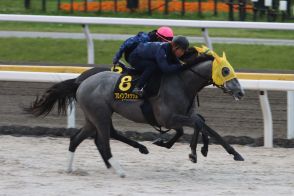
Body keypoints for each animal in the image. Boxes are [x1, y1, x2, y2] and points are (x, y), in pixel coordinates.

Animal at [26, 47, 245, 178]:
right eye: (225, 70)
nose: (240, 92)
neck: (181, 83)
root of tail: (80, 82)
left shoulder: (183, 116)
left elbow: (203, 124)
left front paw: (233, 153)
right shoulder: (169, 118)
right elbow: (198, 124)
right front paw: (193, 152)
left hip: (93, 117)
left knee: (78, 139)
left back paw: (71, 168)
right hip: (100, 114)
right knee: (104, 141)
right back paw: (120, 169)